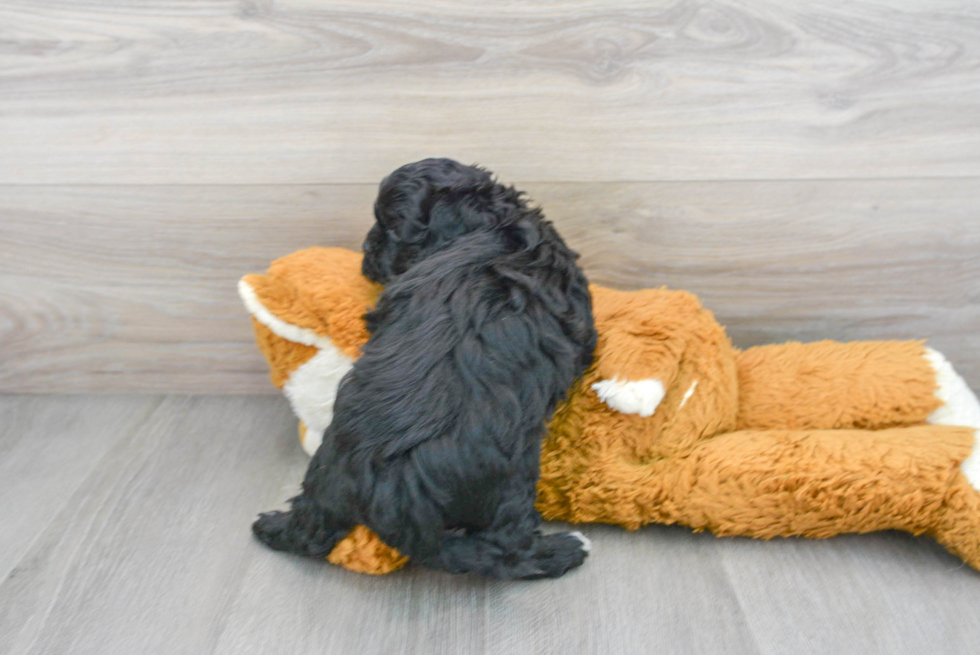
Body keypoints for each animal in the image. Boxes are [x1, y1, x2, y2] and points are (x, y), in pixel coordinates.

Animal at [253, 159, 592, 580]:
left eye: (392, 229)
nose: (367, 249)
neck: (495, 225)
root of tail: (390, 497)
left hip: (325, 478)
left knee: (309, 530)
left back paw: (273, 524)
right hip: (511, 487)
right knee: (505, 554)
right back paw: (565, 549)